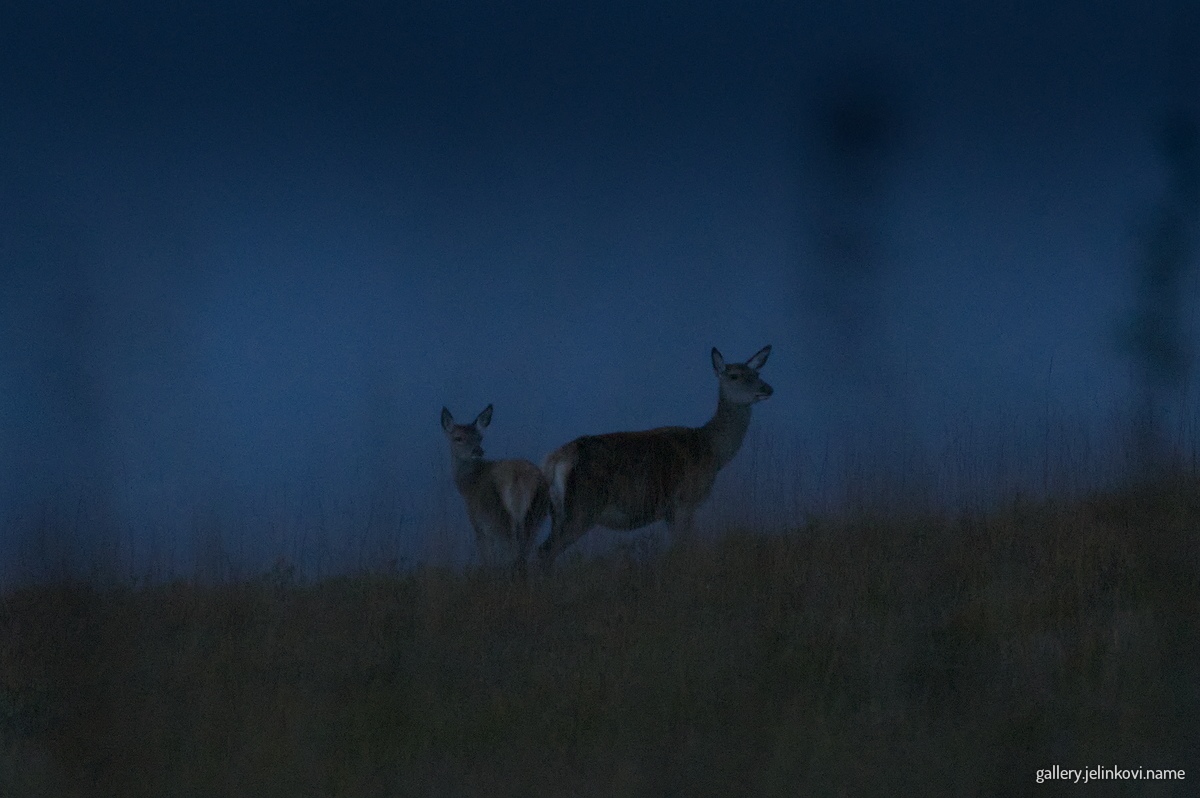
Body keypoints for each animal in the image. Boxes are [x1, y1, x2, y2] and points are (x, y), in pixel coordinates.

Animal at [440, 404, 551, 575]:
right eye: (458, 438)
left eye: (479, 437)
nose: (478, 451)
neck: (468, 485)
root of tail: (520, 477)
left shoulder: (479, 524)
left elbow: (487, 558)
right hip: (536, 515)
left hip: (498, 517)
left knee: (513, 551)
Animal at [538, 345, 773, 570]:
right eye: (734, 375)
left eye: (757, 373)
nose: (767, 389)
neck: (713, 452)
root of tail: (553, 462)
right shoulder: (685, 500)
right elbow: (682, 547)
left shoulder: (671, 510)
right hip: (583, 505)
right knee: (547, 549)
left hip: (559, 512)